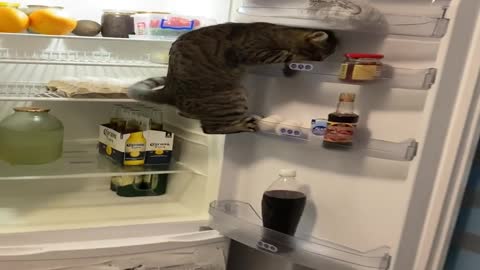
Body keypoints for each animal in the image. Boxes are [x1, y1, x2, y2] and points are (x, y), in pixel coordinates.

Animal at [129, 22, 336, 134]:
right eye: (320, 56)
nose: (323, 60)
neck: (275, 32)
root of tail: (170, 90)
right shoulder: (256, 53)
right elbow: (288, 54)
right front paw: (295, 59)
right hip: (234, 96)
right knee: (210, 128)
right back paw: (244, 125)